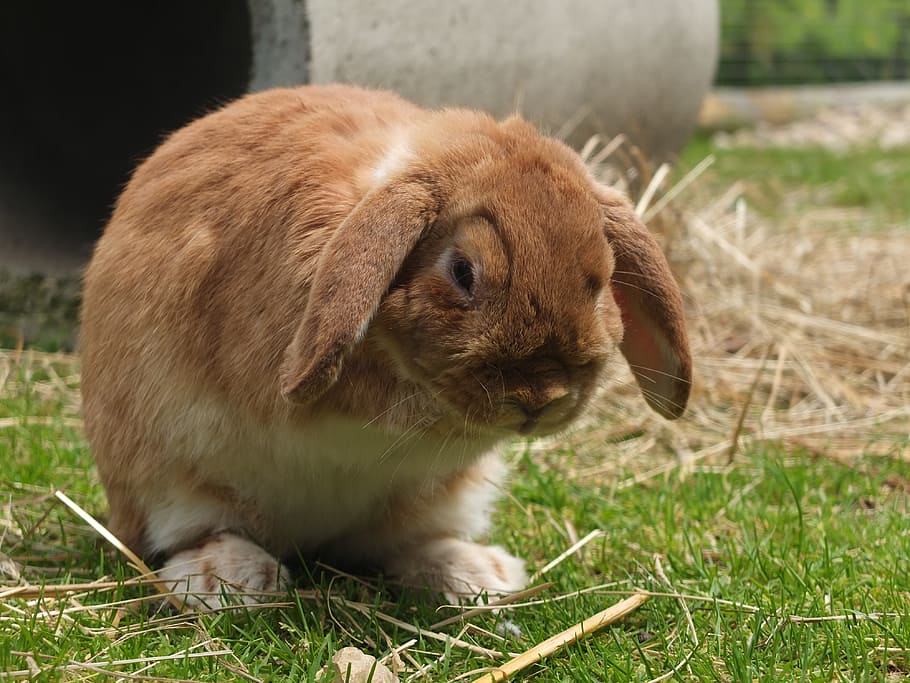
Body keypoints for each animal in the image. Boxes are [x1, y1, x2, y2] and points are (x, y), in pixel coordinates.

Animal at [80, 84, 691, 610]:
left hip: (441, 498)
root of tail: (313, 537)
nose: (540, 399)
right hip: (167, 484)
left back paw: (479, 576)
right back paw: (231, 581)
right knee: (192, 536)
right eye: (462, 271)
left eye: (601, 282)